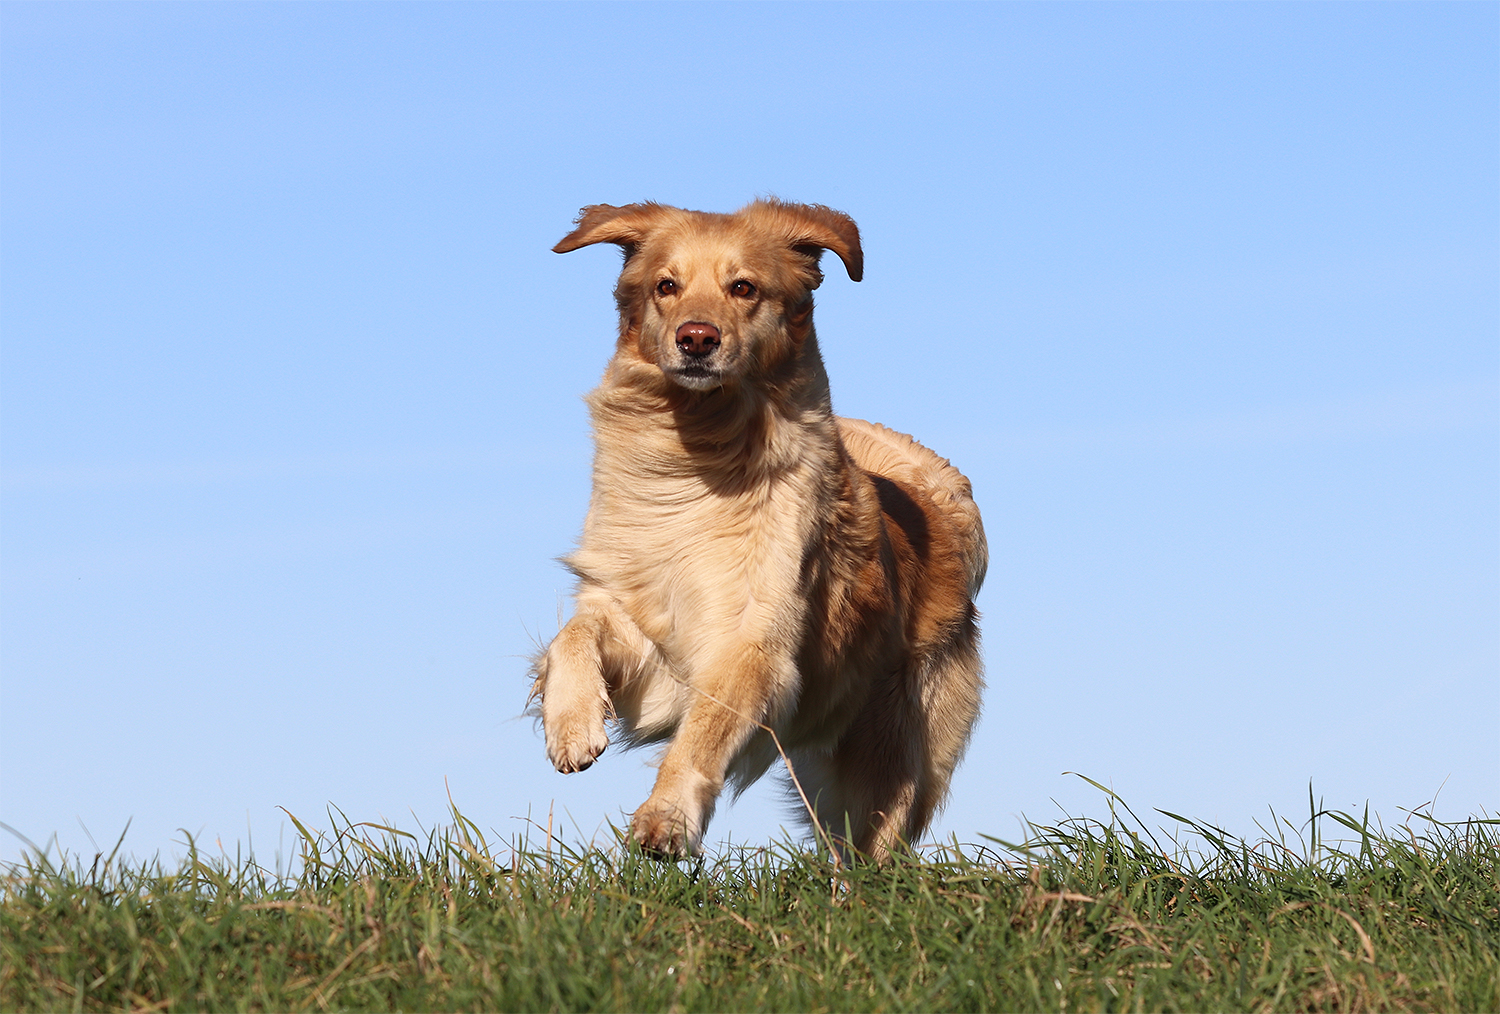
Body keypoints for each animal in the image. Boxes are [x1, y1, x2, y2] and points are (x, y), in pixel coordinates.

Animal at [532, 199, 986, 861]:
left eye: (743, 288)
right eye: (666, 286)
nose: (696, 338)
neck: (700, 460)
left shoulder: (753, 640)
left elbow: (702, 734)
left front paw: (666, 818)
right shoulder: (635, 614)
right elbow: (574, 632)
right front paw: (571, 725)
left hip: (889, 750)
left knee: (876, 842)